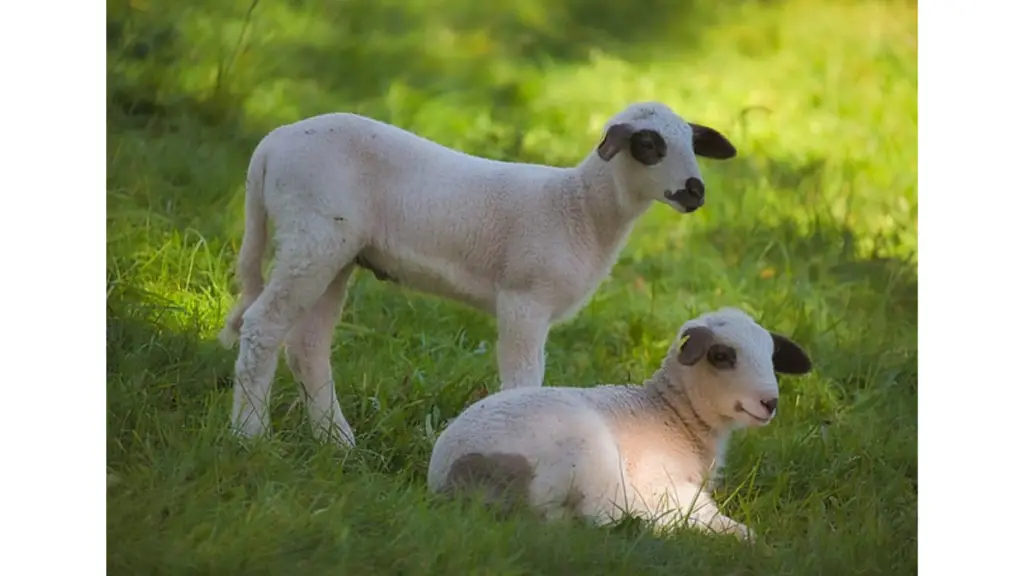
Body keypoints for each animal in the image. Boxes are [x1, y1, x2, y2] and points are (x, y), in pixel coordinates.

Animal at [222, 99, 737, 444]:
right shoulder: (524, 301)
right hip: (313, 236)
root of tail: (271, 145)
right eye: (648, 144)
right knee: (263, 326)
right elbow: (525, 378)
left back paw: (338, 443)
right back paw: (250, 434)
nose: (695, 191)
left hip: (337, 251)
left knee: (307, 346)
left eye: (693, 143)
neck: (580, 209)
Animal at [423, 307, 806, 541]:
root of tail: (456, 477)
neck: (671, 413)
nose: (770, 403)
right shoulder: (664, 484)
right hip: (587, 455)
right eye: (722, 356)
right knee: (598, 517)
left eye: (772, 358)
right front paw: (743, 536)